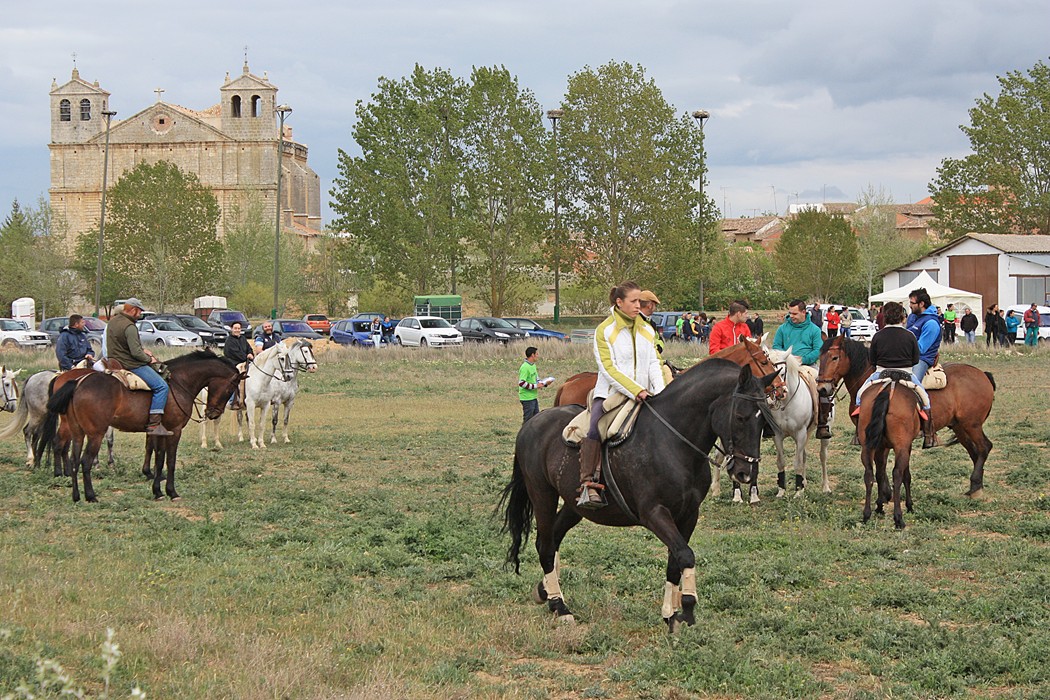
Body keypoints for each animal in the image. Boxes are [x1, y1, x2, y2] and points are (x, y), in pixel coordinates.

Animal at [35, 350, 243, 502]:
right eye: (230, 389)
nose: (213, 413)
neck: (179, 383)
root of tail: (78, 383)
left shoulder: (160, 432)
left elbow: (159, 459)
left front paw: (157, 491)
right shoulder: (174, 431)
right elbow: (170, 461)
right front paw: (172, 492)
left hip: (78, 432)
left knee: (74, 458)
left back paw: (76, 495)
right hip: (95, 434)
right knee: (84, 461)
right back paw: (91, 496)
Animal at [501, 360, 778, 631]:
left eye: (763, 421)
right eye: (740, 417)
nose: (745, 473)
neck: (672, 442)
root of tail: (533, 424)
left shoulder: (689, 514)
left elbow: (675, 560)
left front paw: (670, 614)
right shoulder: (653, 513)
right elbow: (686, 555)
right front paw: (687, 610)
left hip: (573, 505)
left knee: (553, 538)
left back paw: (546, 593)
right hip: (542, 495)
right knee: (546, 544)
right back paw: (560, 607)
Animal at [816, 335, 996, 498]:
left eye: (835, 357)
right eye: (820, 357)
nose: (822, 388)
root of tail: (982, 374)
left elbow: (881, 461)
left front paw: (886, 492)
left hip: (972, 425)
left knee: (984, 447)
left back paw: (975, 486)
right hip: (960, 427)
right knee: (975, 452)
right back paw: (976, 487)